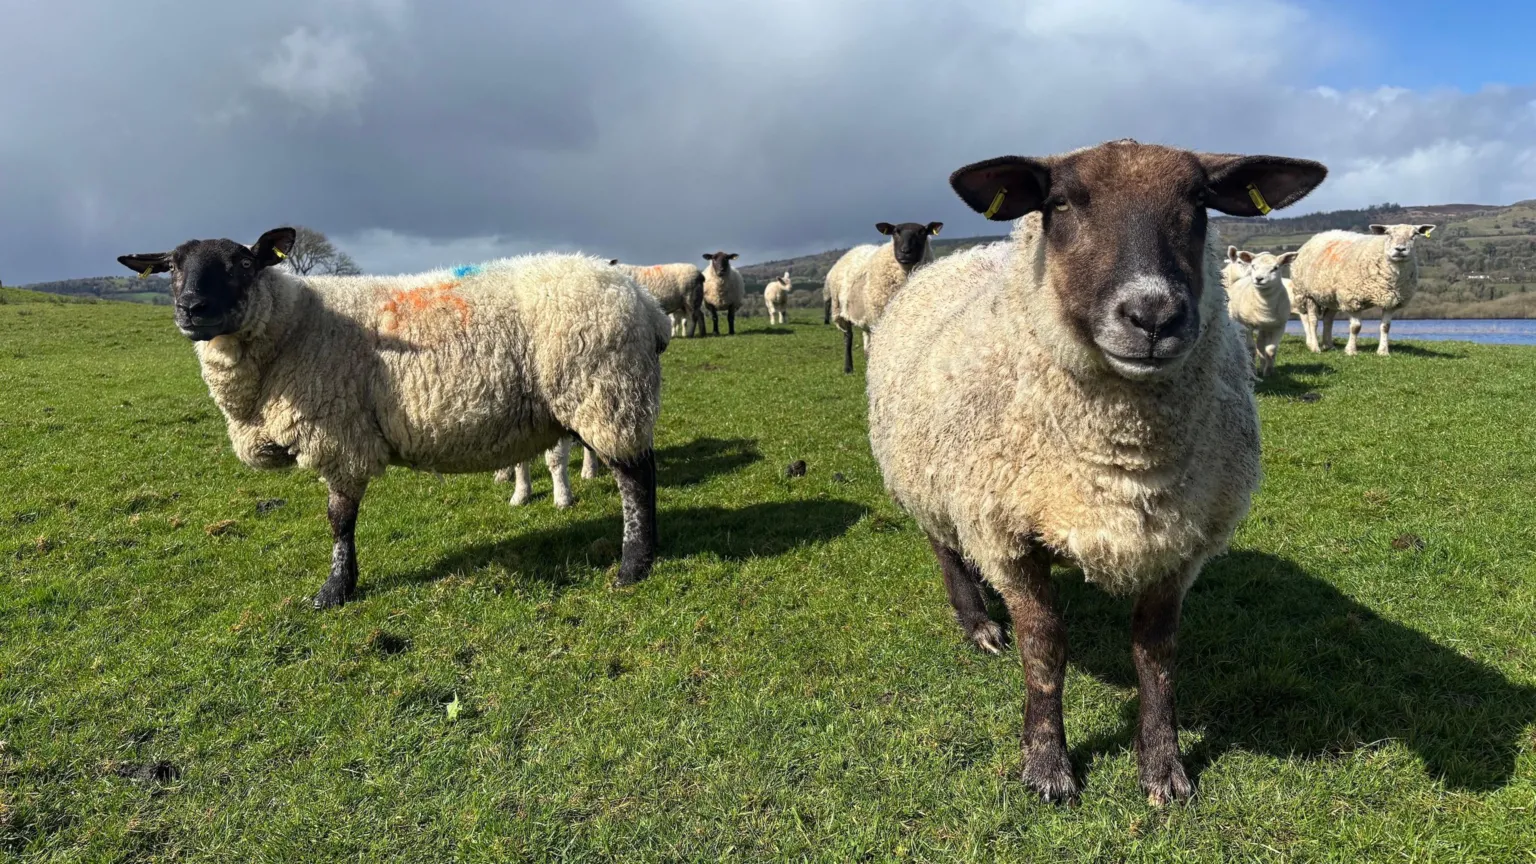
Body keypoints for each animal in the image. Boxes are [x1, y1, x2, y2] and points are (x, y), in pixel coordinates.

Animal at [117, 228, 671, 609]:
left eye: (243, 264)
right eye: (171, 267)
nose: (192, 308)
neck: (292, 327)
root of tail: (643, 300)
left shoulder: (338, 433)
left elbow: (338, 519)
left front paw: (335, 590)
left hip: (605, 391)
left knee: (636, 477)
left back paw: (632, 566)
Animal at [828, 222, 942, 373]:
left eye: (922, 232)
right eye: (895, 232)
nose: (905, 251)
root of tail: (855, 249)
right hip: (840, 310)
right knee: (848, 337)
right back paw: (848, 368)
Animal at [1222, 246, 1297, 378]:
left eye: (1275, 268)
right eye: (1254, 266)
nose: (1258, 278)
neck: (1265, 306)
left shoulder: (1279, 326)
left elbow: (1270, 350)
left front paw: (1269, 372)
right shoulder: (1247, 325)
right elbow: (1251, 349)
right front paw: (1253, 371)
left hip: (1265, 327)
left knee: (1261, 344)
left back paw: (1263, 366)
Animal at [1287, 223, 1434, 356]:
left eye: (1414, 234)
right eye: (1388, 234)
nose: (1400, 249)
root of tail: (1318, 235)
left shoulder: (1391, 301)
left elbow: (1386, 327)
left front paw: (1383, 352)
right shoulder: (1352, 299)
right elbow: (1356, 327)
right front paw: (1351, 350)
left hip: (1332, 297)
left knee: (1328, 319)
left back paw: (1328, 345)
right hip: (1307, 293)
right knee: (1313, 321)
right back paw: (1315, 347)